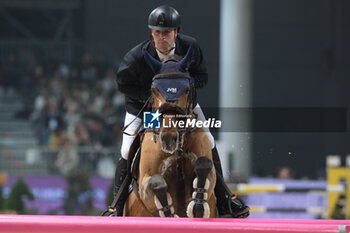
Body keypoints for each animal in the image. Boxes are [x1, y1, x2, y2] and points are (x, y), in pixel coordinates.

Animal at [123, 46, 216, 218]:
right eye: (153, 90)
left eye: (187, 89)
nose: (168, 139)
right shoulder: (144, 186)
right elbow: (156, 182)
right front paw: (170, 214)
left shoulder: (209, 171)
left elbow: (204, 164)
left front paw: (198, 207)